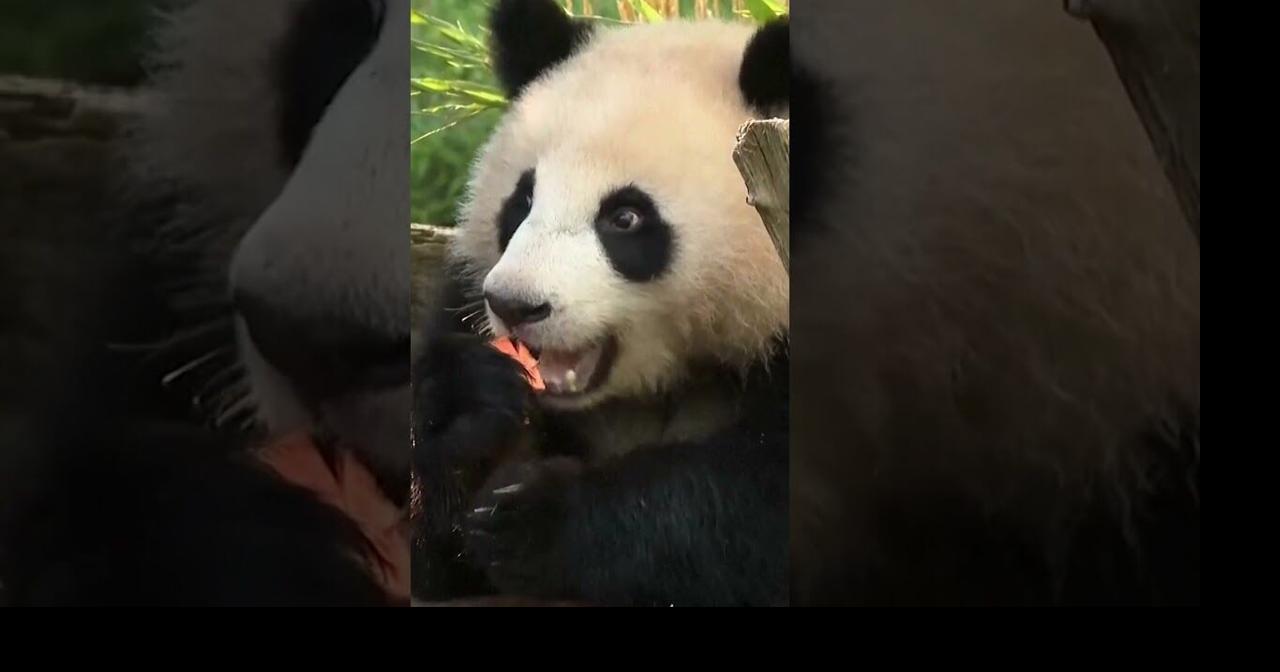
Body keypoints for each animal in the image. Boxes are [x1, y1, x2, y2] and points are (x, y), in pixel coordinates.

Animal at [413, 0, 792, 606]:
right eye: (522, 201)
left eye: (625, 217)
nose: (515, 305)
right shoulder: (464, 294)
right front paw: (469, 402)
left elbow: (764, 507)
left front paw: (536, 522)